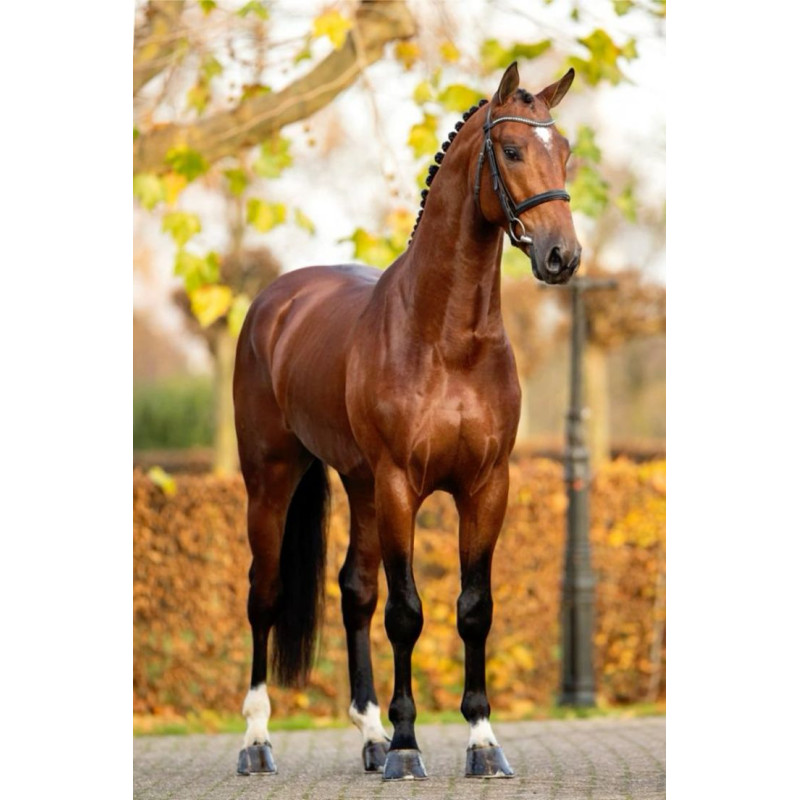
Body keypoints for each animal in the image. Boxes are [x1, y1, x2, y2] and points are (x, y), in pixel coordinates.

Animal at [233, 61, 581, 781]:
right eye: (511, 150)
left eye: (564, 150)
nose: (562, 256)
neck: (448, 338)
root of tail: (276, 302)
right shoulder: (401, 486)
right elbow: (406, 613)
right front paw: (407, 747)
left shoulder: (486, 487)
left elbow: (473, 610)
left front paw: (481, 743)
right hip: (273, 477)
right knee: (266, 592)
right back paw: (257, 741)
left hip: (360, 486)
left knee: (354, 590)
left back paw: (368, 733)